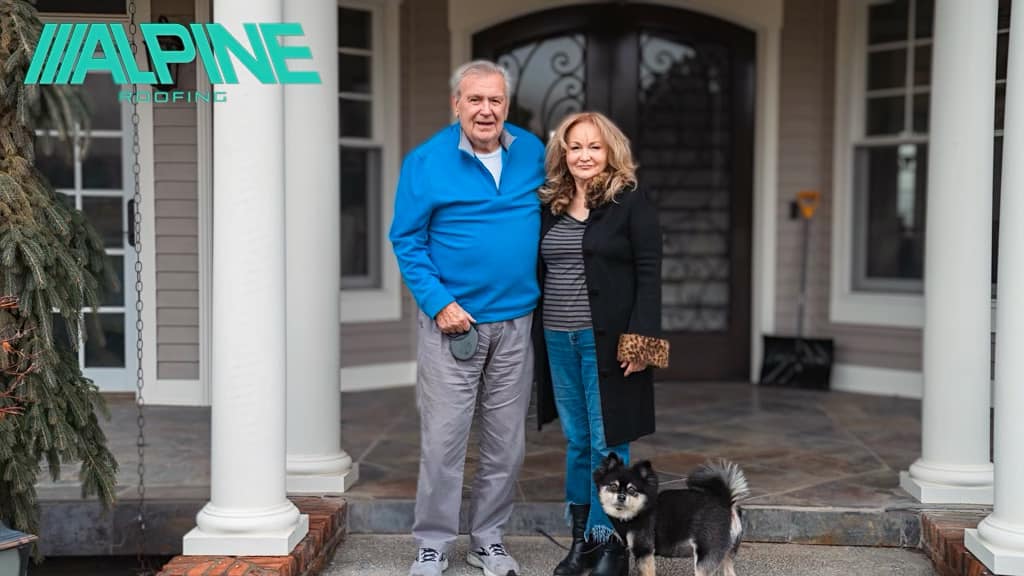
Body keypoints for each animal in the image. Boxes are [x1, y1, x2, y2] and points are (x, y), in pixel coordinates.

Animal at [593, 453, 753, 573]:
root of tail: (726, 502)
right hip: (726, 555)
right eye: (613, 486)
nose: (621, 497)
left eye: (632, 490)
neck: (638, 511)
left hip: (705, 556)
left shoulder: (644, 552)